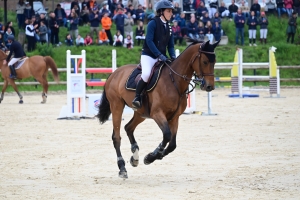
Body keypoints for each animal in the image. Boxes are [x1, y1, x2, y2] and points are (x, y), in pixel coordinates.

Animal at [97, 39, 219, 178]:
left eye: (214, 62)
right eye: (205, 61)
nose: (209, 86)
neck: (174, 81)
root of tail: (114, 74)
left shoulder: (174, 117)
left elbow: (172, 144)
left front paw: (153, 156)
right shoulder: (157, 114)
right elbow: (166, 135)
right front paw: (152, 156)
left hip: (141, 113)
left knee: (128, 128)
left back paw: (135, 157)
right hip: (117, 106)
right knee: (116, 137)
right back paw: (122, 168)